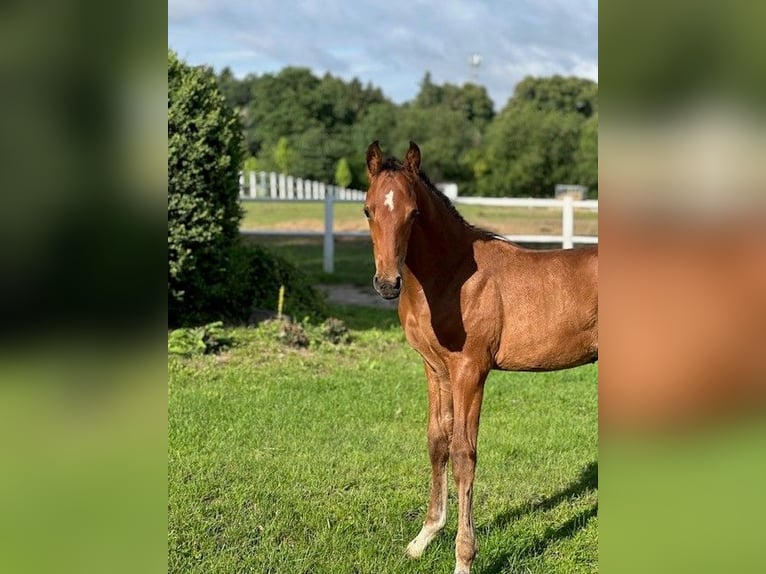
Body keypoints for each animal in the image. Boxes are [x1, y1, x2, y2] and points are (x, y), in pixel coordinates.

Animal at [363, 141, 598, 574]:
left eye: (414, 213)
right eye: (368, 209)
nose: (388, 284)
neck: (452, 277)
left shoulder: (471, 371)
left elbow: (463, 454)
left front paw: (463, 559)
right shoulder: (435, 369)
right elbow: (437, 442)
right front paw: (422, 540)